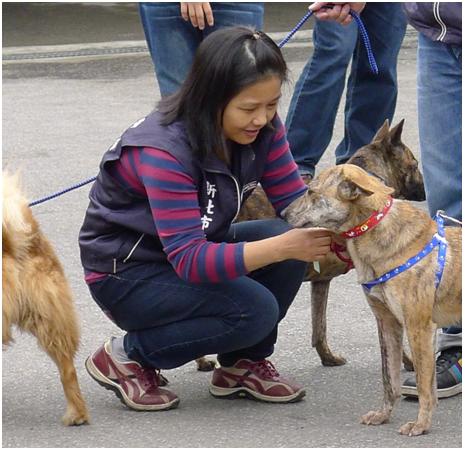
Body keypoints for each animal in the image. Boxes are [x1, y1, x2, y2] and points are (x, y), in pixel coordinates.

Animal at [282, 163, 460, 434]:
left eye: (311, 192)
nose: (282, 213)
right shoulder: (387, 324)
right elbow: (390, 379)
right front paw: (383, 415)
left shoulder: (419, 328)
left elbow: (423, 385)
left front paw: (420, 424)